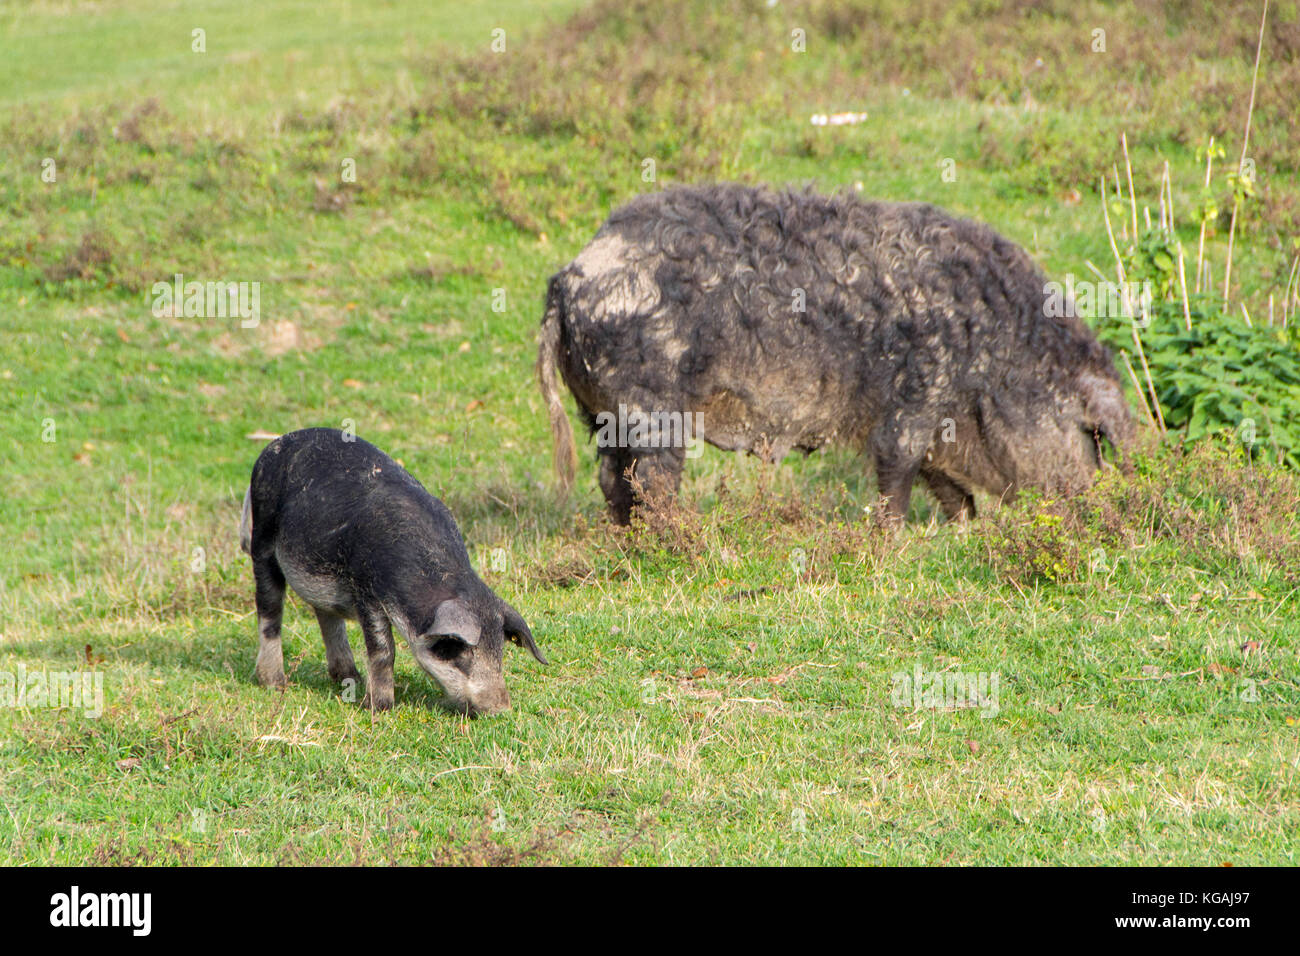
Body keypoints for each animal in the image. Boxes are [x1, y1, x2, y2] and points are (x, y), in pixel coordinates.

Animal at [239, 428, 546, 716]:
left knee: (326, 616)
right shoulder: (366, 589)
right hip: (262, 540)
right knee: (269, 611)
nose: (501, 708)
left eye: (500, 650)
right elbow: (384, 650)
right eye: (461, 651)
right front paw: (380, 708)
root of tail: (273, 446)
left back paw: (349, 678)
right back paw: (275, 683)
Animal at [537, 183, 1133, 523]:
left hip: (600, 411)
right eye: (1090, 435)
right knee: (651, 479)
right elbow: (898, 465)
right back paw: (676, 538)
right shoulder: (920, 387)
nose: (1098, 511)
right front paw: (893, 539)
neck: (995, 356)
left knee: (611, 479)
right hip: (652, 405)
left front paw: (964, 530)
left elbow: (946, 484)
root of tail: (568, 278)